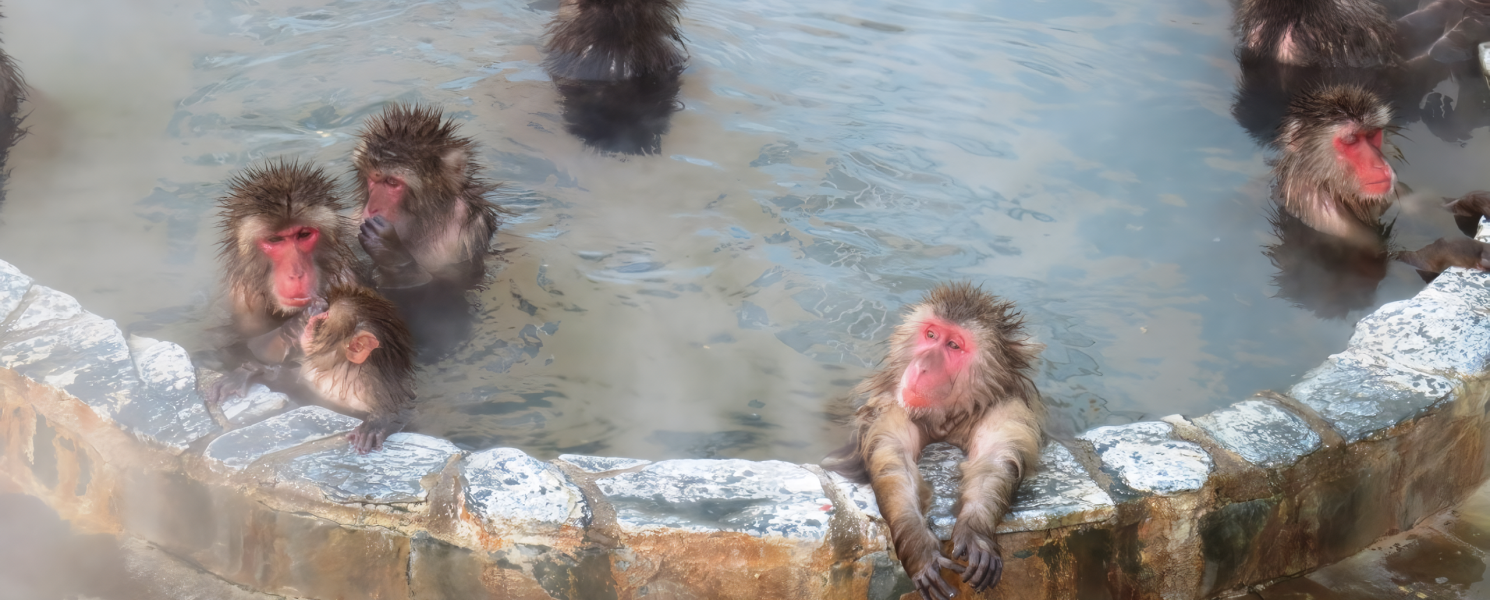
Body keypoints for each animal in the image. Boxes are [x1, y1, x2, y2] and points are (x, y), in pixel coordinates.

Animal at [822, 282, 1043, 600]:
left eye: (953, 346)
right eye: (931, 335)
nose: (922, 365)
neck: (946, 418)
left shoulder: (1006, 412)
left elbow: (994, 461)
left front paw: (976, 533)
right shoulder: (896, 408)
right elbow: (895, 463)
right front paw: (919, 550)